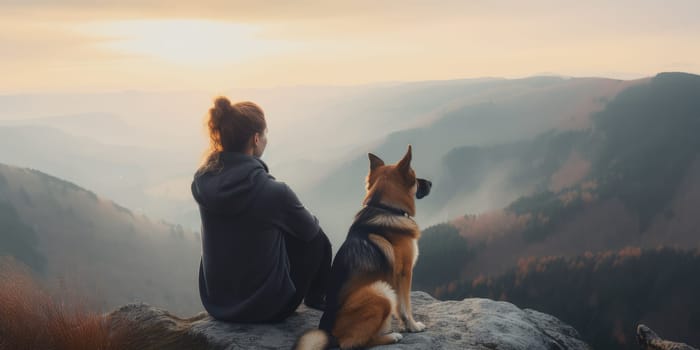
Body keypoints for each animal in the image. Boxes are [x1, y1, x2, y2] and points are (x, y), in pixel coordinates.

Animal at [292, 144, 430, 348]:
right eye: (415, 177)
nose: (430, 183)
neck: (385, 208)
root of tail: (328, 333)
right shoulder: (405, 273)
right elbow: (405, 306)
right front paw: (412, 326)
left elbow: (400, 307)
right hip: (380, 291)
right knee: (354, 342)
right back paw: (390, 336)